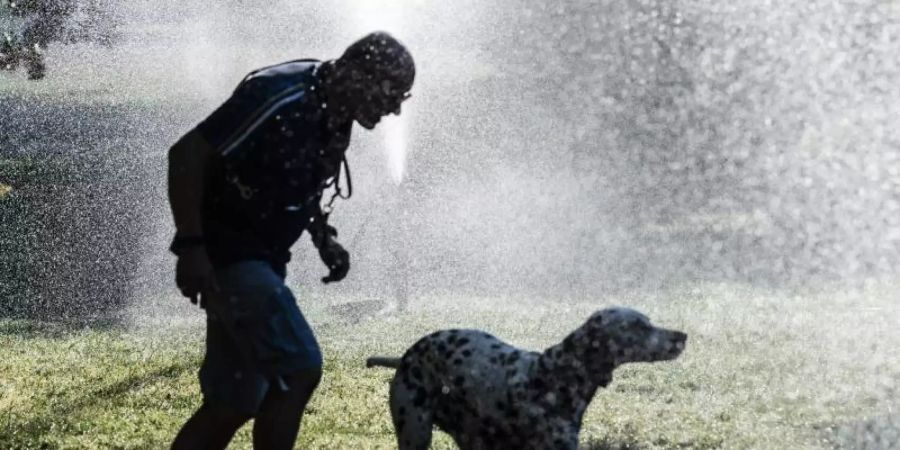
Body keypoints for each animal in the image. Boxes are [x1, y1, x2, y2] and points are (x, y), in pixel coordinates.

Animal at [366, 308, 688, 448]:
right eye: (638, 327)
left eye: (648, 321)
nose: (681, 336)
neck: (554, 377)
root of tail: (406, 356)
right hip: (416, 433)